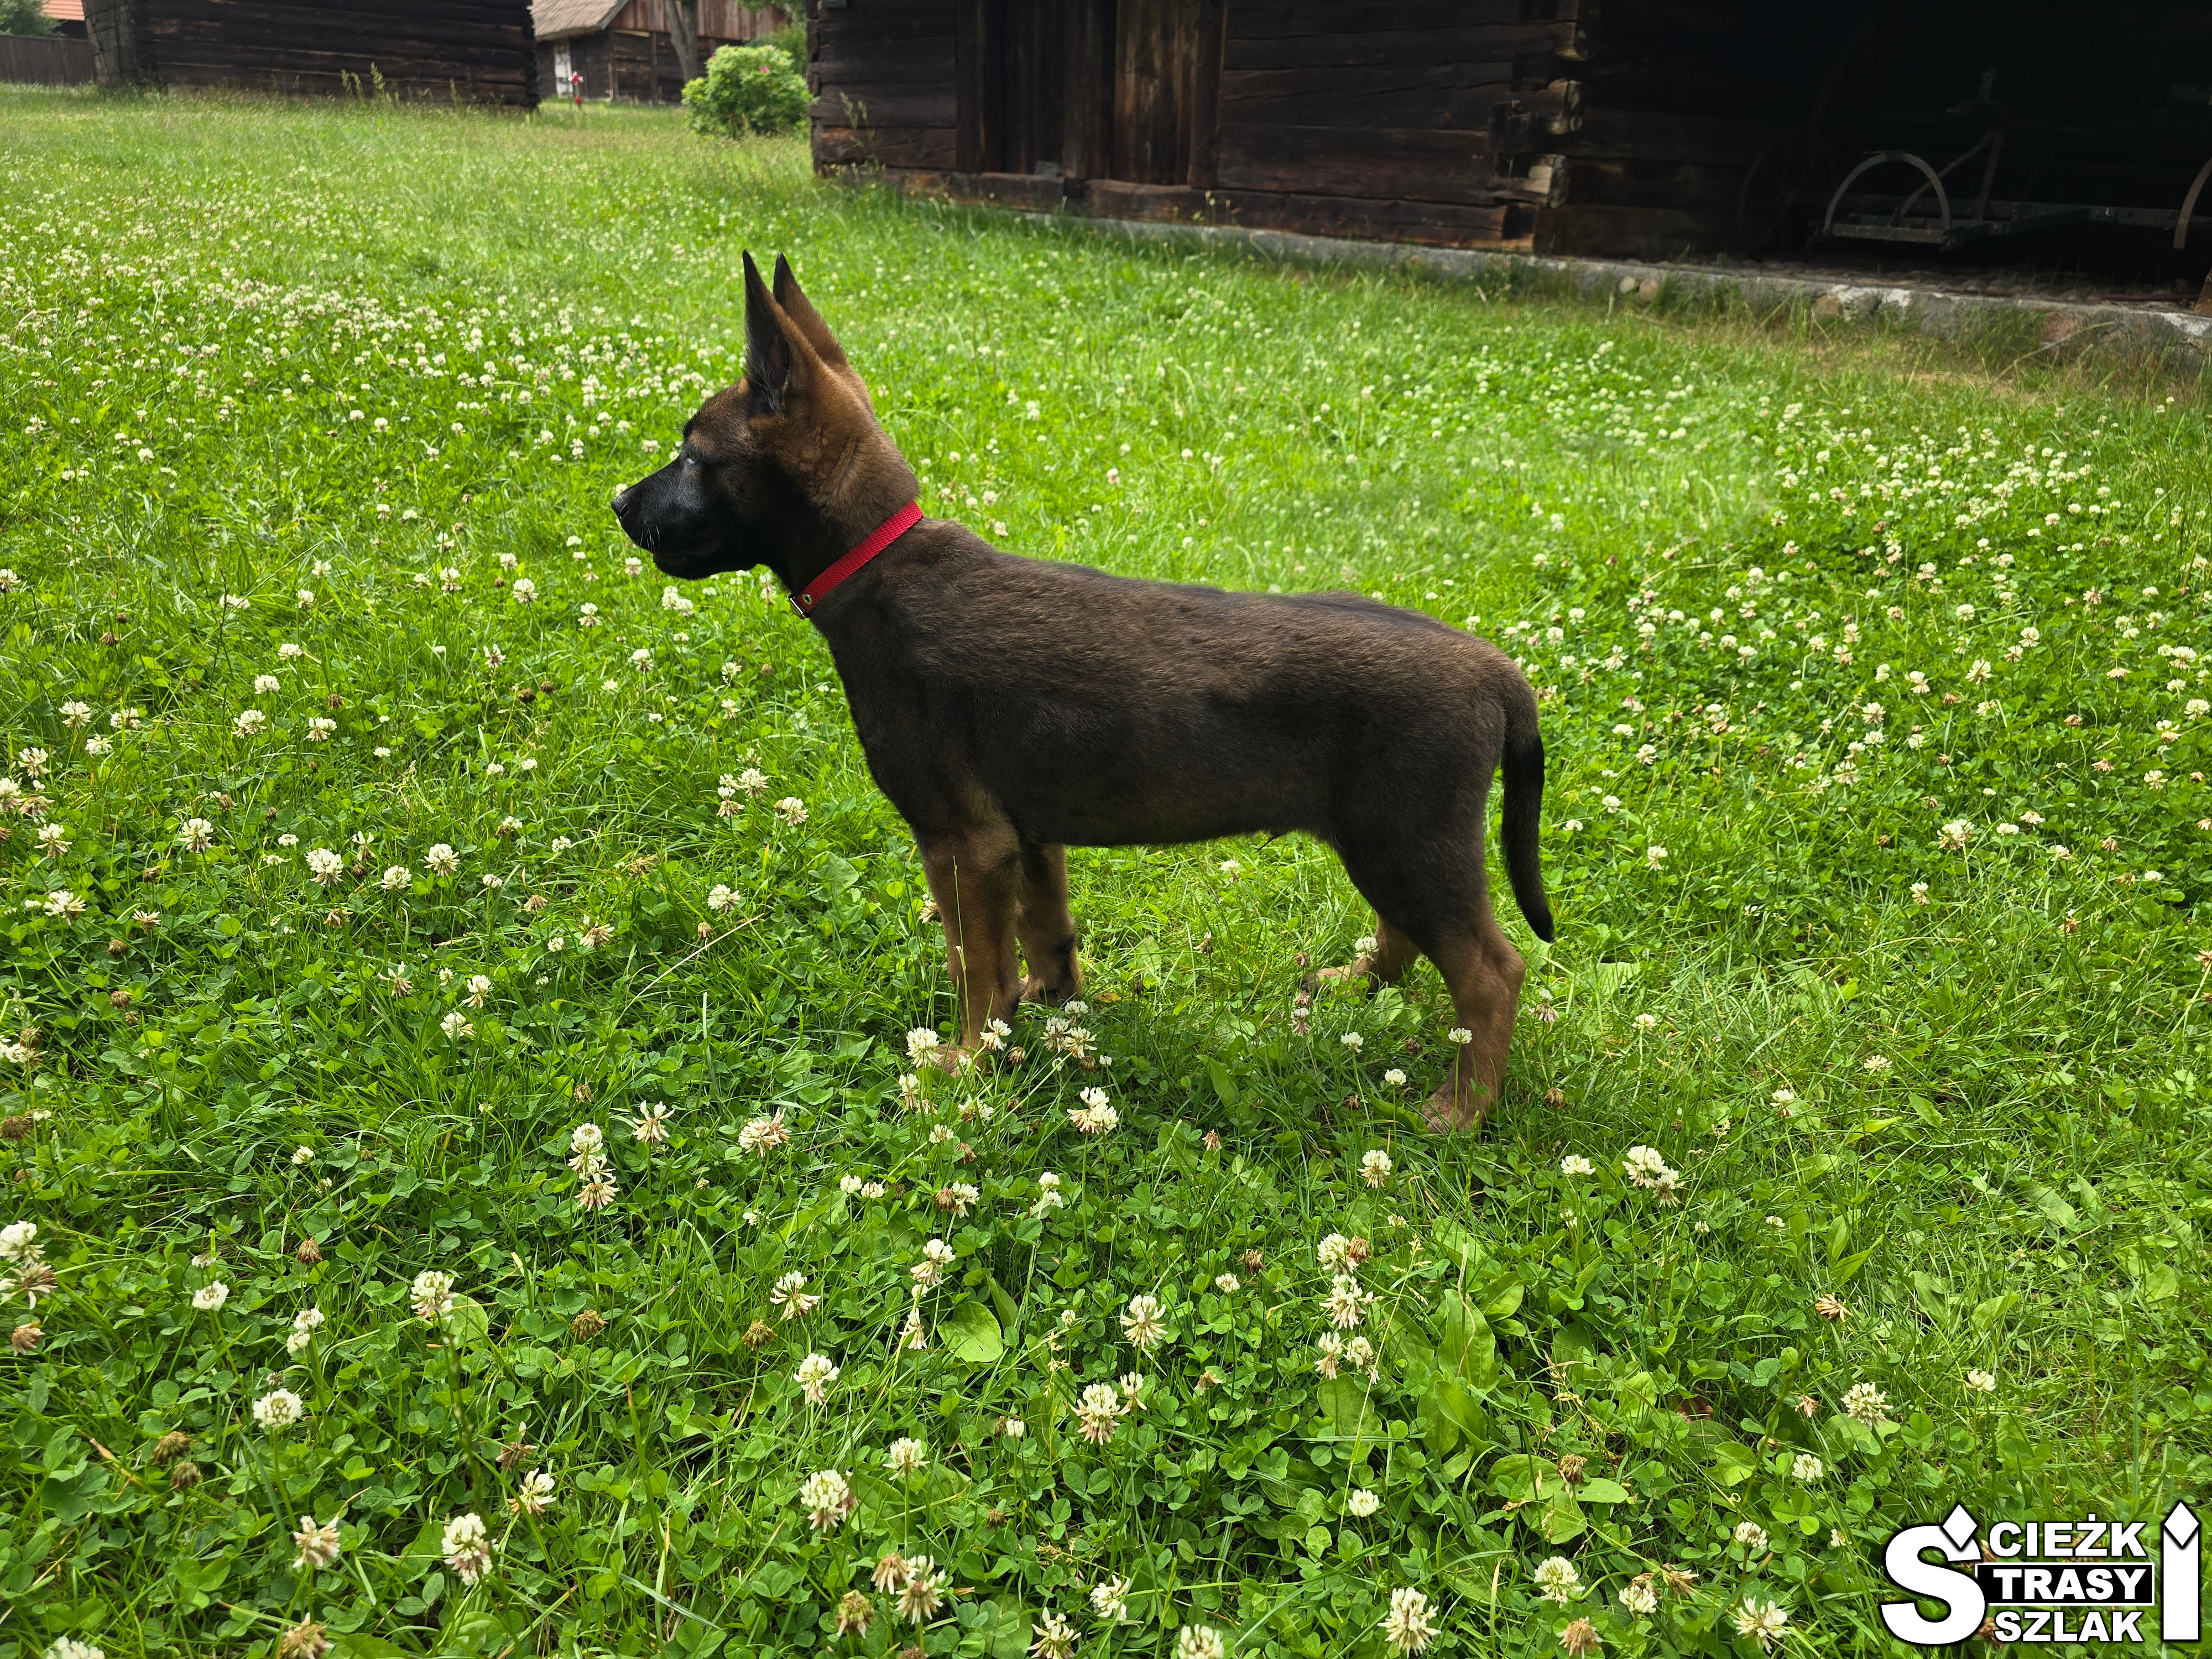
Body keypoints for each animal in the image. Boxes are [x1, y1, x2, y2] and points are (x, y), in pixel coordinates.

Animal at [615, 250, 1557, 1133]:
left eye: (696, 458)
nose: (621, 502)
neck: (881, 566)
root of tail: (1497, 669)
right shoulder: (1028, 833)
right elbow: (1045, 935)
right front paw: (1046, 1010)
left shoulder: (963, 842)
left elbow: (974, 967)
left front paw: (966, 1064)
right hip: (1391, 844)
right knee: (1406, 936)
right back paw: (1353, 984)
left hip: (1409, 841)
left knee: (1492, 971)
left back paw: (1463, 1108)